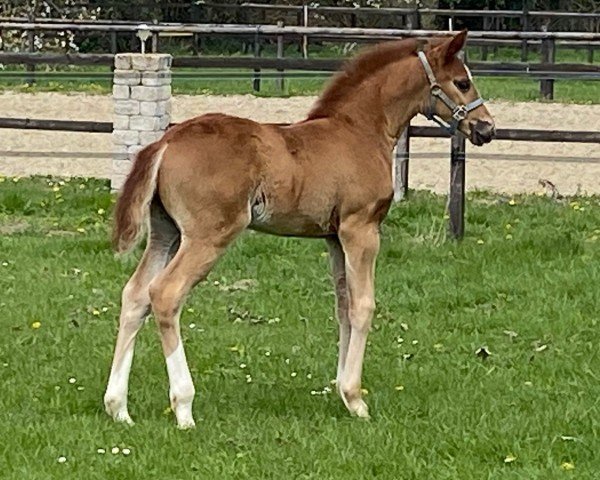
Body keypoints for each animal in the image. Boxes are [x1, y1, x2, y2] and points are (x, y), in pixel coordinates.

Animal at [105, 31, 494, 428]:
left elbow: (343, 305)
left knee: (135, 295)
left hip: (166, 233)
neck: (359, 131)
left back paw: (118, 407)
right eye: (463, 82)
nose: (486, 128)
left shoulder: (334, 237)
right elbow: (363, 306)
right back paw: (183, 408)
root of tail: (164, 142)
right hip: (208, 236)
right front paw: (356, 399)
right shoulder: (361, 229)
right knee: (165, 294)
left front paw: (341, 391)